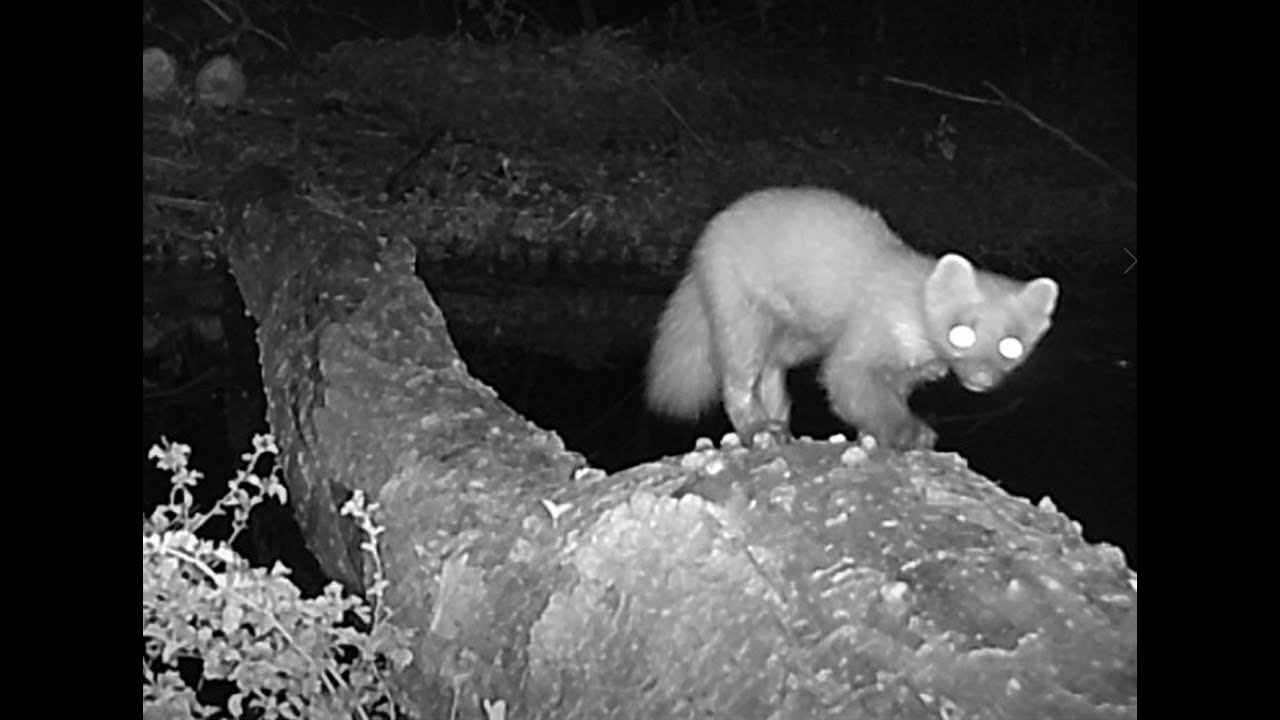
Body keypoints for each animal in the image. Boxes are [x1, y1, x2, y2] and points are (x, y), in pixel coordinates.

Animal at [645, 187, 1059, 450]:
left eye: (1012, 345)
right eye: (960, 333)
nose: (982, 378)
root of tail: (702, 248)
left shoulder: (907, 374)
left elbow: (878, 401)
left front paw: (871, 438)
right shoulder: (865, 337)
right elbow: (850, 384)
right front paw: (912, 435)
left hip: (799, 336)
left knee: (772, 369)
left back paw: (782, 425)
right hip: (738, 308)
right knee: (736, 377)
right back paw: (761, 430)